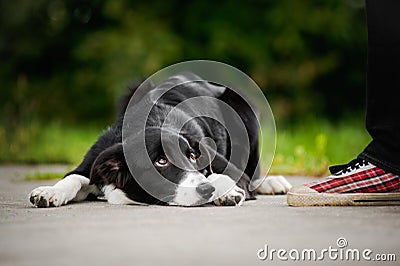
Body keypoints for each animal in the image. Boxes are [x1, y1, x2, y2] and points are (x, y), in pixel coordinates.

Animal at [28, 72, 290, 208]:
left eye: (193, 156)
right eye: (160, 161)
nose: (206, 190)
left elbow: (232, 176)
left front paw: (226, 190)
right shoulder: (93, 160)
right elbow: (73, 178)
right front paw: (49, 191)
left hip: (244, 107)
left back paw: (272, 182)